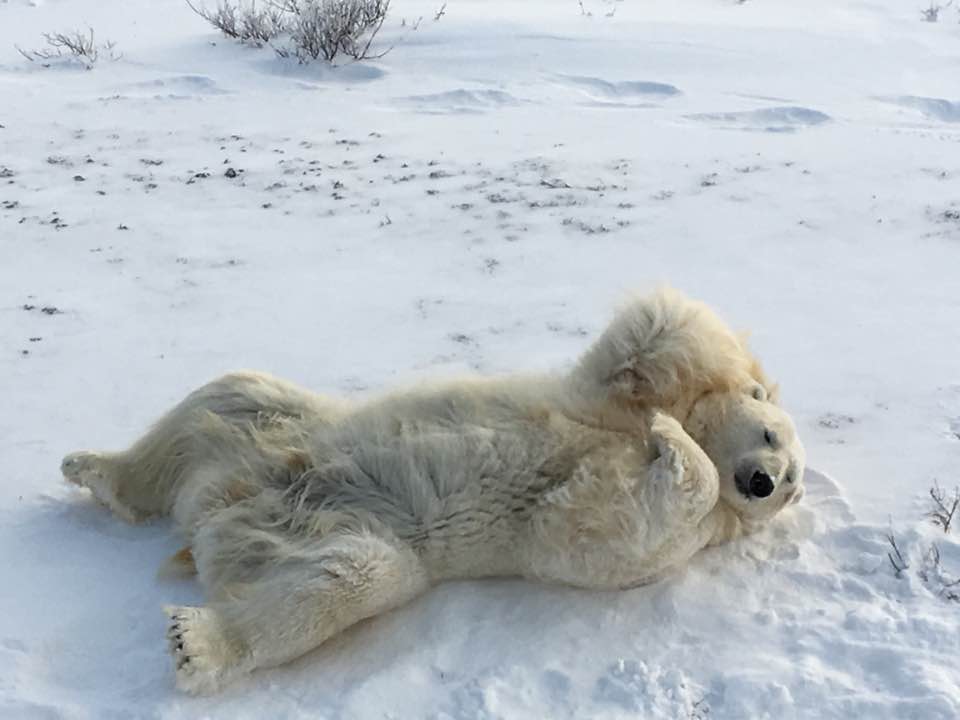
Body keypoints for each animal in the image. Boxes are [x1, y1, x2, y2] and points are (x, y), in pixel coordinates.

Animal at [60, 287, 805, 694]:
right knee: (226, 395)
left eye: (792, 488)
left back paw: (198, 640)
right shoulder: (590, 398)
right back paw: (96, 470)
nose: (765, 480)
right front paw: (675, 414)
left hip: (335, 532)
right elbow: (653, 340)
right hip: (283, 423)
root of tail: (213, 514)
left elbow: (610, 530)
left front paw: (673, 444)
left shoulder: (668, 537)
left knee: (343, 579)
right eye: (772, 436)